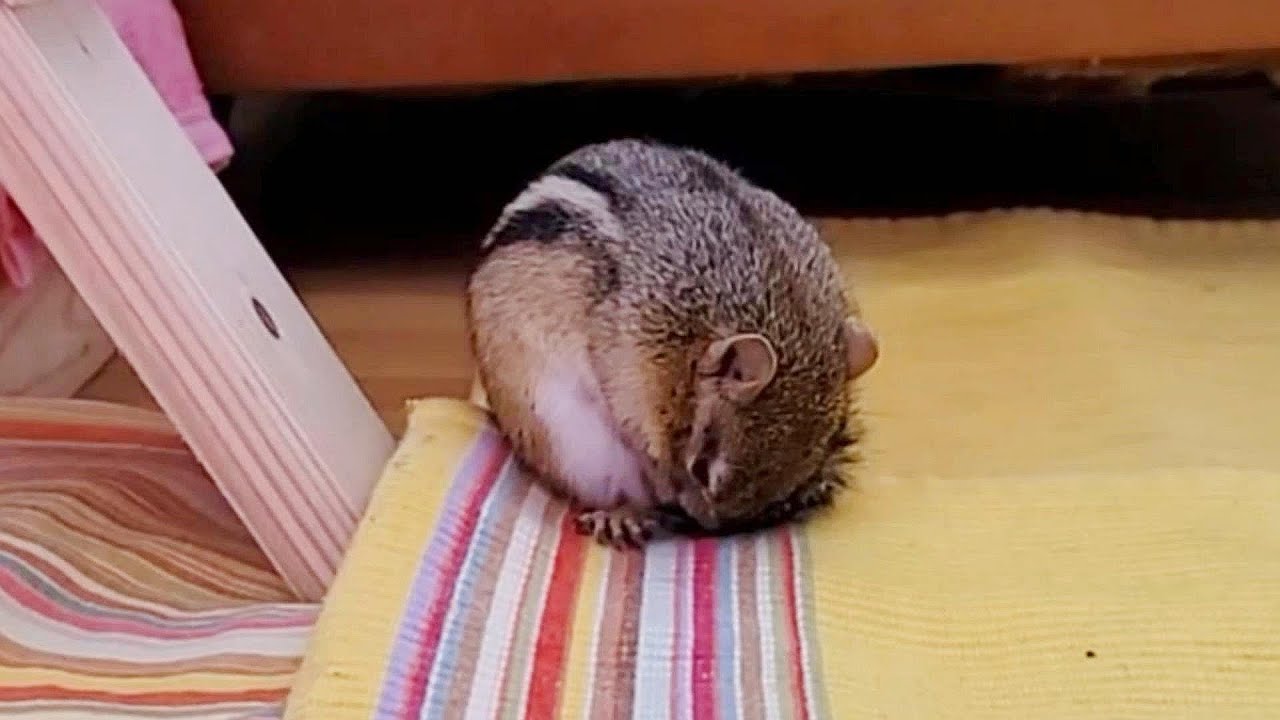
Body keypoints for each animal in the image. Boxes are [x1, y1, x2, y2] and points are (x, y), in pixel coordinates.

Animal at [466, 139, 878, 547]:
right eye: (700, 469)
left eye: (798, 475)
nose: (707, 526)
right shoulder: (629, 363)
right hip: (570, 447)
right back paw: (622, 514)